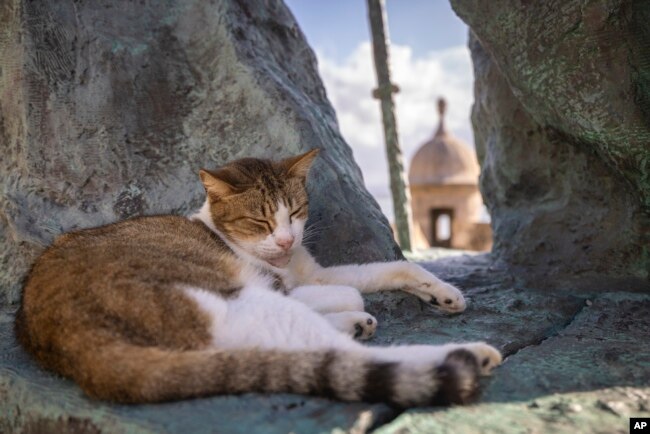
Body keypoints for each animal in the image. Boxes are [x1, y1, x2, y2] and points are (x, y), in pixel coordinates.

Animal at [16, 149, 502, 406]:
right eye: (260, 221)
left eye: (297, 212)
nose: (286, 240)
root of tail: (74, 346)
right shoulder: (284, 285)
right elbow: (351, 291)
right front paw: (355, 311)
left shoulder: (312, 271)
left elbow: (389, 269)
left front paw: (442, 293)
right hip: (230, 301)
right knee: (343, 356)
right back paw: (469, 355)